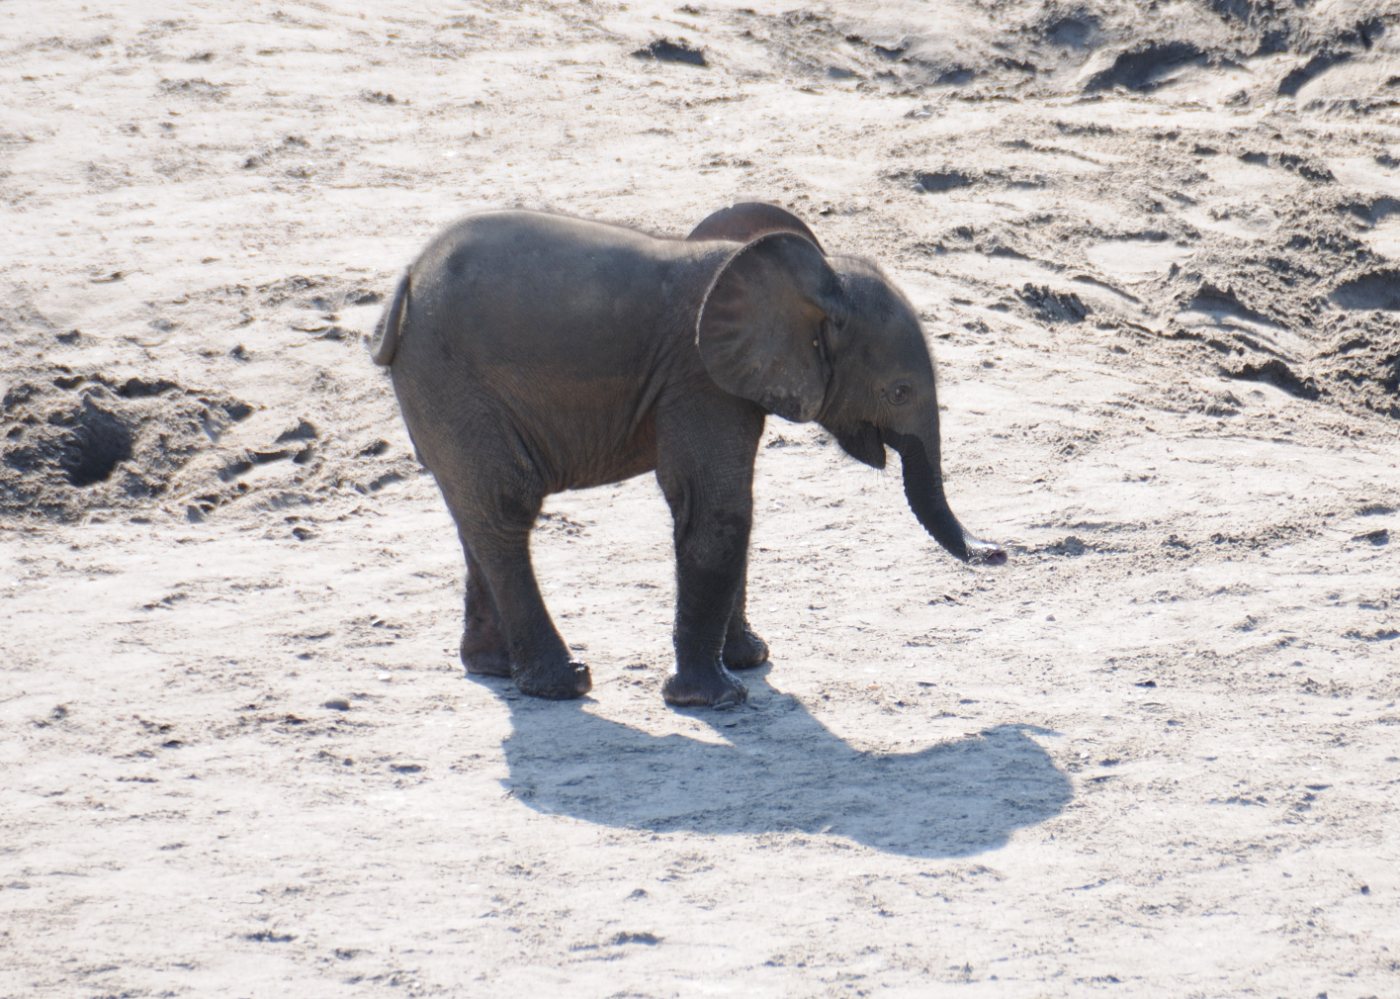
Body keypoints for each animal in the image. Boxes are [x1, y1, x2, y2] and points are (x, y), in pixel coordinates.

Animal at [371, 203, 1005, 709]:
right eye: (898, 392)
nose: (997, 554)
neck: (813, 282)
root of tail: (406, 280)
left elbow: (734, 505)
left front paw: (750, 658)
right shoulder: (698, 378)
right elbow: (717, 509)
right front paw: (717, 700)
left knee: (477, 515)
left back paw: (494, 668)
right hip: (454, 382)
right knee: (506, 510)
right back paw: (564, 684)